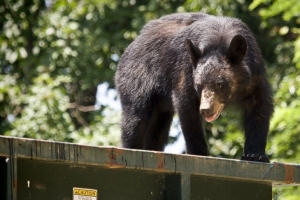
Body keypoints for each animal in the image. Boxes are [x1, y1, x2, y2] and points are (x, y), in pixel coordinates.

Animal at [115, 12, 274, 162]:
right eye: (199, 85)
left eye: (220, 84)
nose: (205, 109)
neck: (220, 40)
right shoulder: (186, 70)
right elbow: (187, 107)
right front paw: (198, 152)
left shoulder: (256, 74)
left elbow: (259, 108)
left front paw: (255, 155)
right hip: (137, 76)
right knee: (136, 118)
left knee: (157, 129)